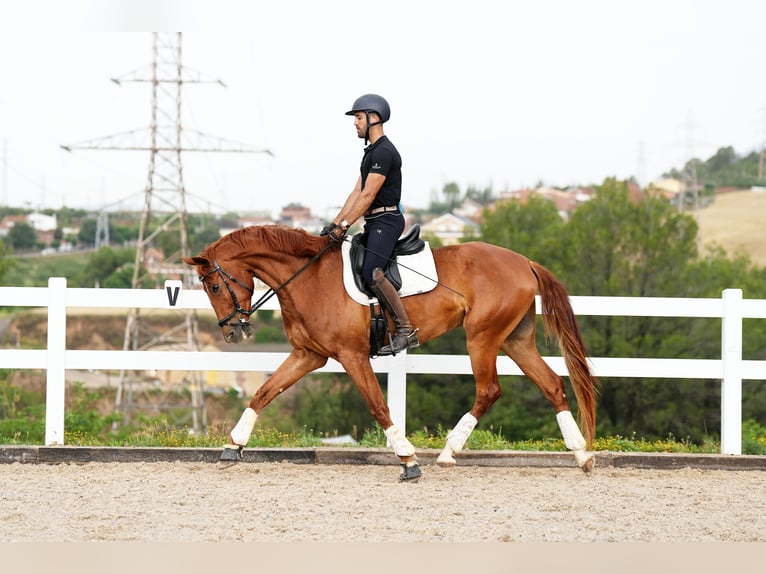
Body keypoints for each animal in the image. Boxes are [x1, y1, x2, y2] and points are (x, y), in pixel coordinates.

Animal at [182, 225, 600, 482]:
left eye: (214, 286)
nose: (233, 332)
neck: (308, 276)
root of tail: (524, 261)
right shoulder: (309, 354)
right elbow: (264, 392)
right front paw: (232, 446)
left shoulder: (351, 355)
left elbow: (377, 404)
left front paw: (407, 458)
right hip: (514, 340)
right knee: (551, 384)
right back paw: (582, 455)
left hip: (481, 337)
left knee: (489, 390)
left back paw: (448, 452)